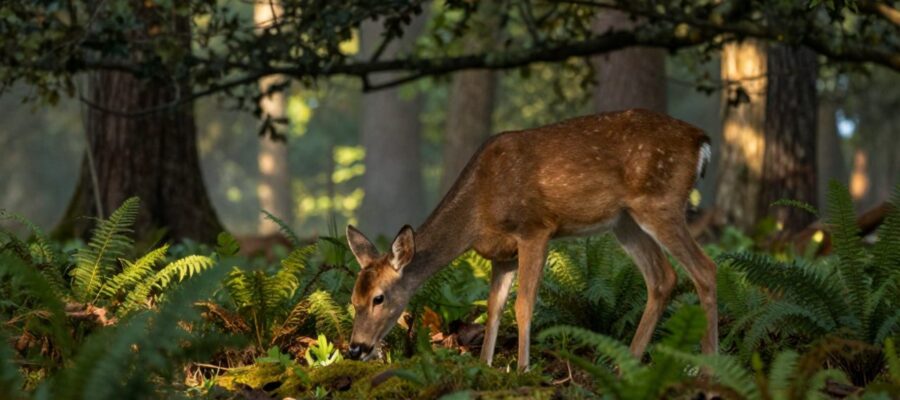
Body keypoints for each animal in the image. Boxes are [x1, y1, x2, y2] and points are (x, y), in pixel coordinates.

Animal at [344, 109, 716, 370]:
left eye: (379, 298)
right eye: (353, 299)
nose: (355, 348)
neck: (478, 211)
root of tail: (702, 141)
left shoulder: (535, 228)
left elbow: (522, 305)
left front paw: (522, 369)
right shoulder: (501, 254)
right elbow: (493, 308)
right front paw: (485, 366)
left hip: (660, 202)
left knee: (705, 269)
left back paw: (707, 371)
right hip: (625, 222)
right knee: (662, 278)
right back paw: (625, 366)